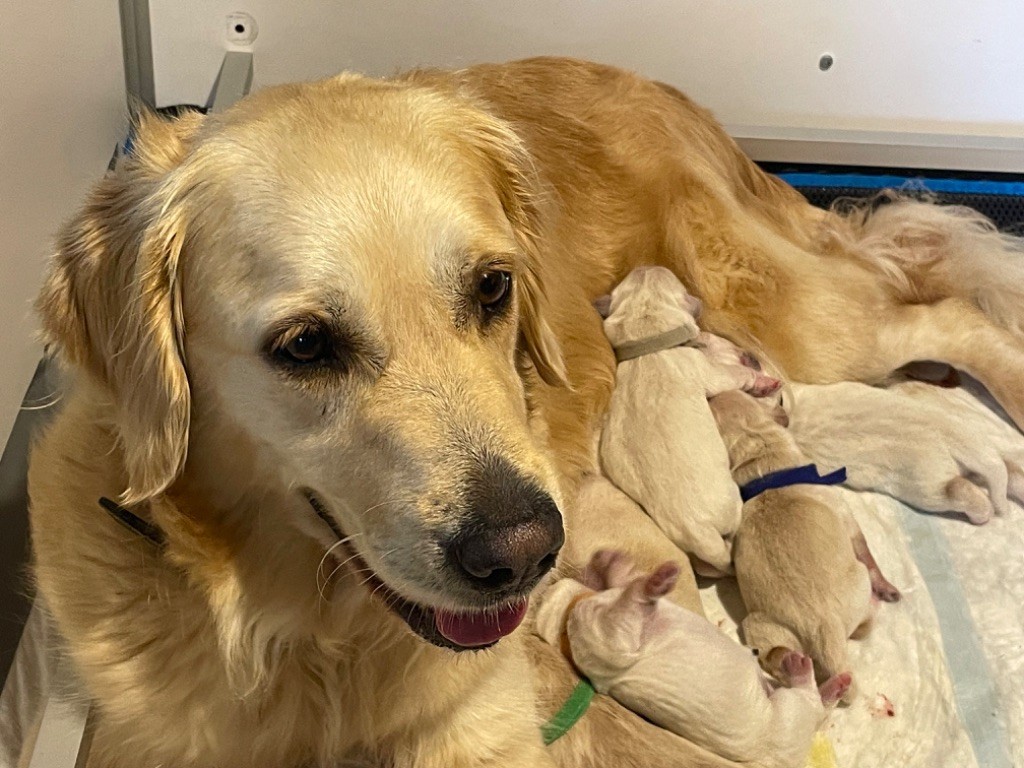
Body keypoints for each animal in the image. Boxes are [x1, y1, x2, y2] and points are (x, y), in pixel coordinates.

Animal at [536, 552, 847, 768]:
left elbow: (621, 583)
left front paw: (611, 561)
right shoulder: (610, 643)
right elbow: (628, 609)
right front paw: (655, 582)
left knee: (817, 706)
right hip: (787, 721)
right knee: (809, 701)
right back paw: (806, 671)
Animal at [598, 268, 753, 573]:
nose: (646, 265)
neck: (649, 345)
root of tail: (698, 532)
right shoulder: (707, 369)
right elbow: (733, 375)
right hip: (731, 501)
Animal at [708, 393, 876, 700]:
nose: (711, 394)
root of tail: (825, 631)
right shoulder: (844, 513)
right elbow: (860, 541)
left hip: (762, 626)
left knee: (770, 655)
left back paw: (790, 664)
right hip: (860, 582)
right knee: (865, 625)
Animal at [778, 378, 1019, 524]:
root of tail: (947, 435)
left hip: (926, 488)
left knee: (963, 492)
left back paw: (985, 514)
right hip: (974, 438)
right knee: (1008, 469)